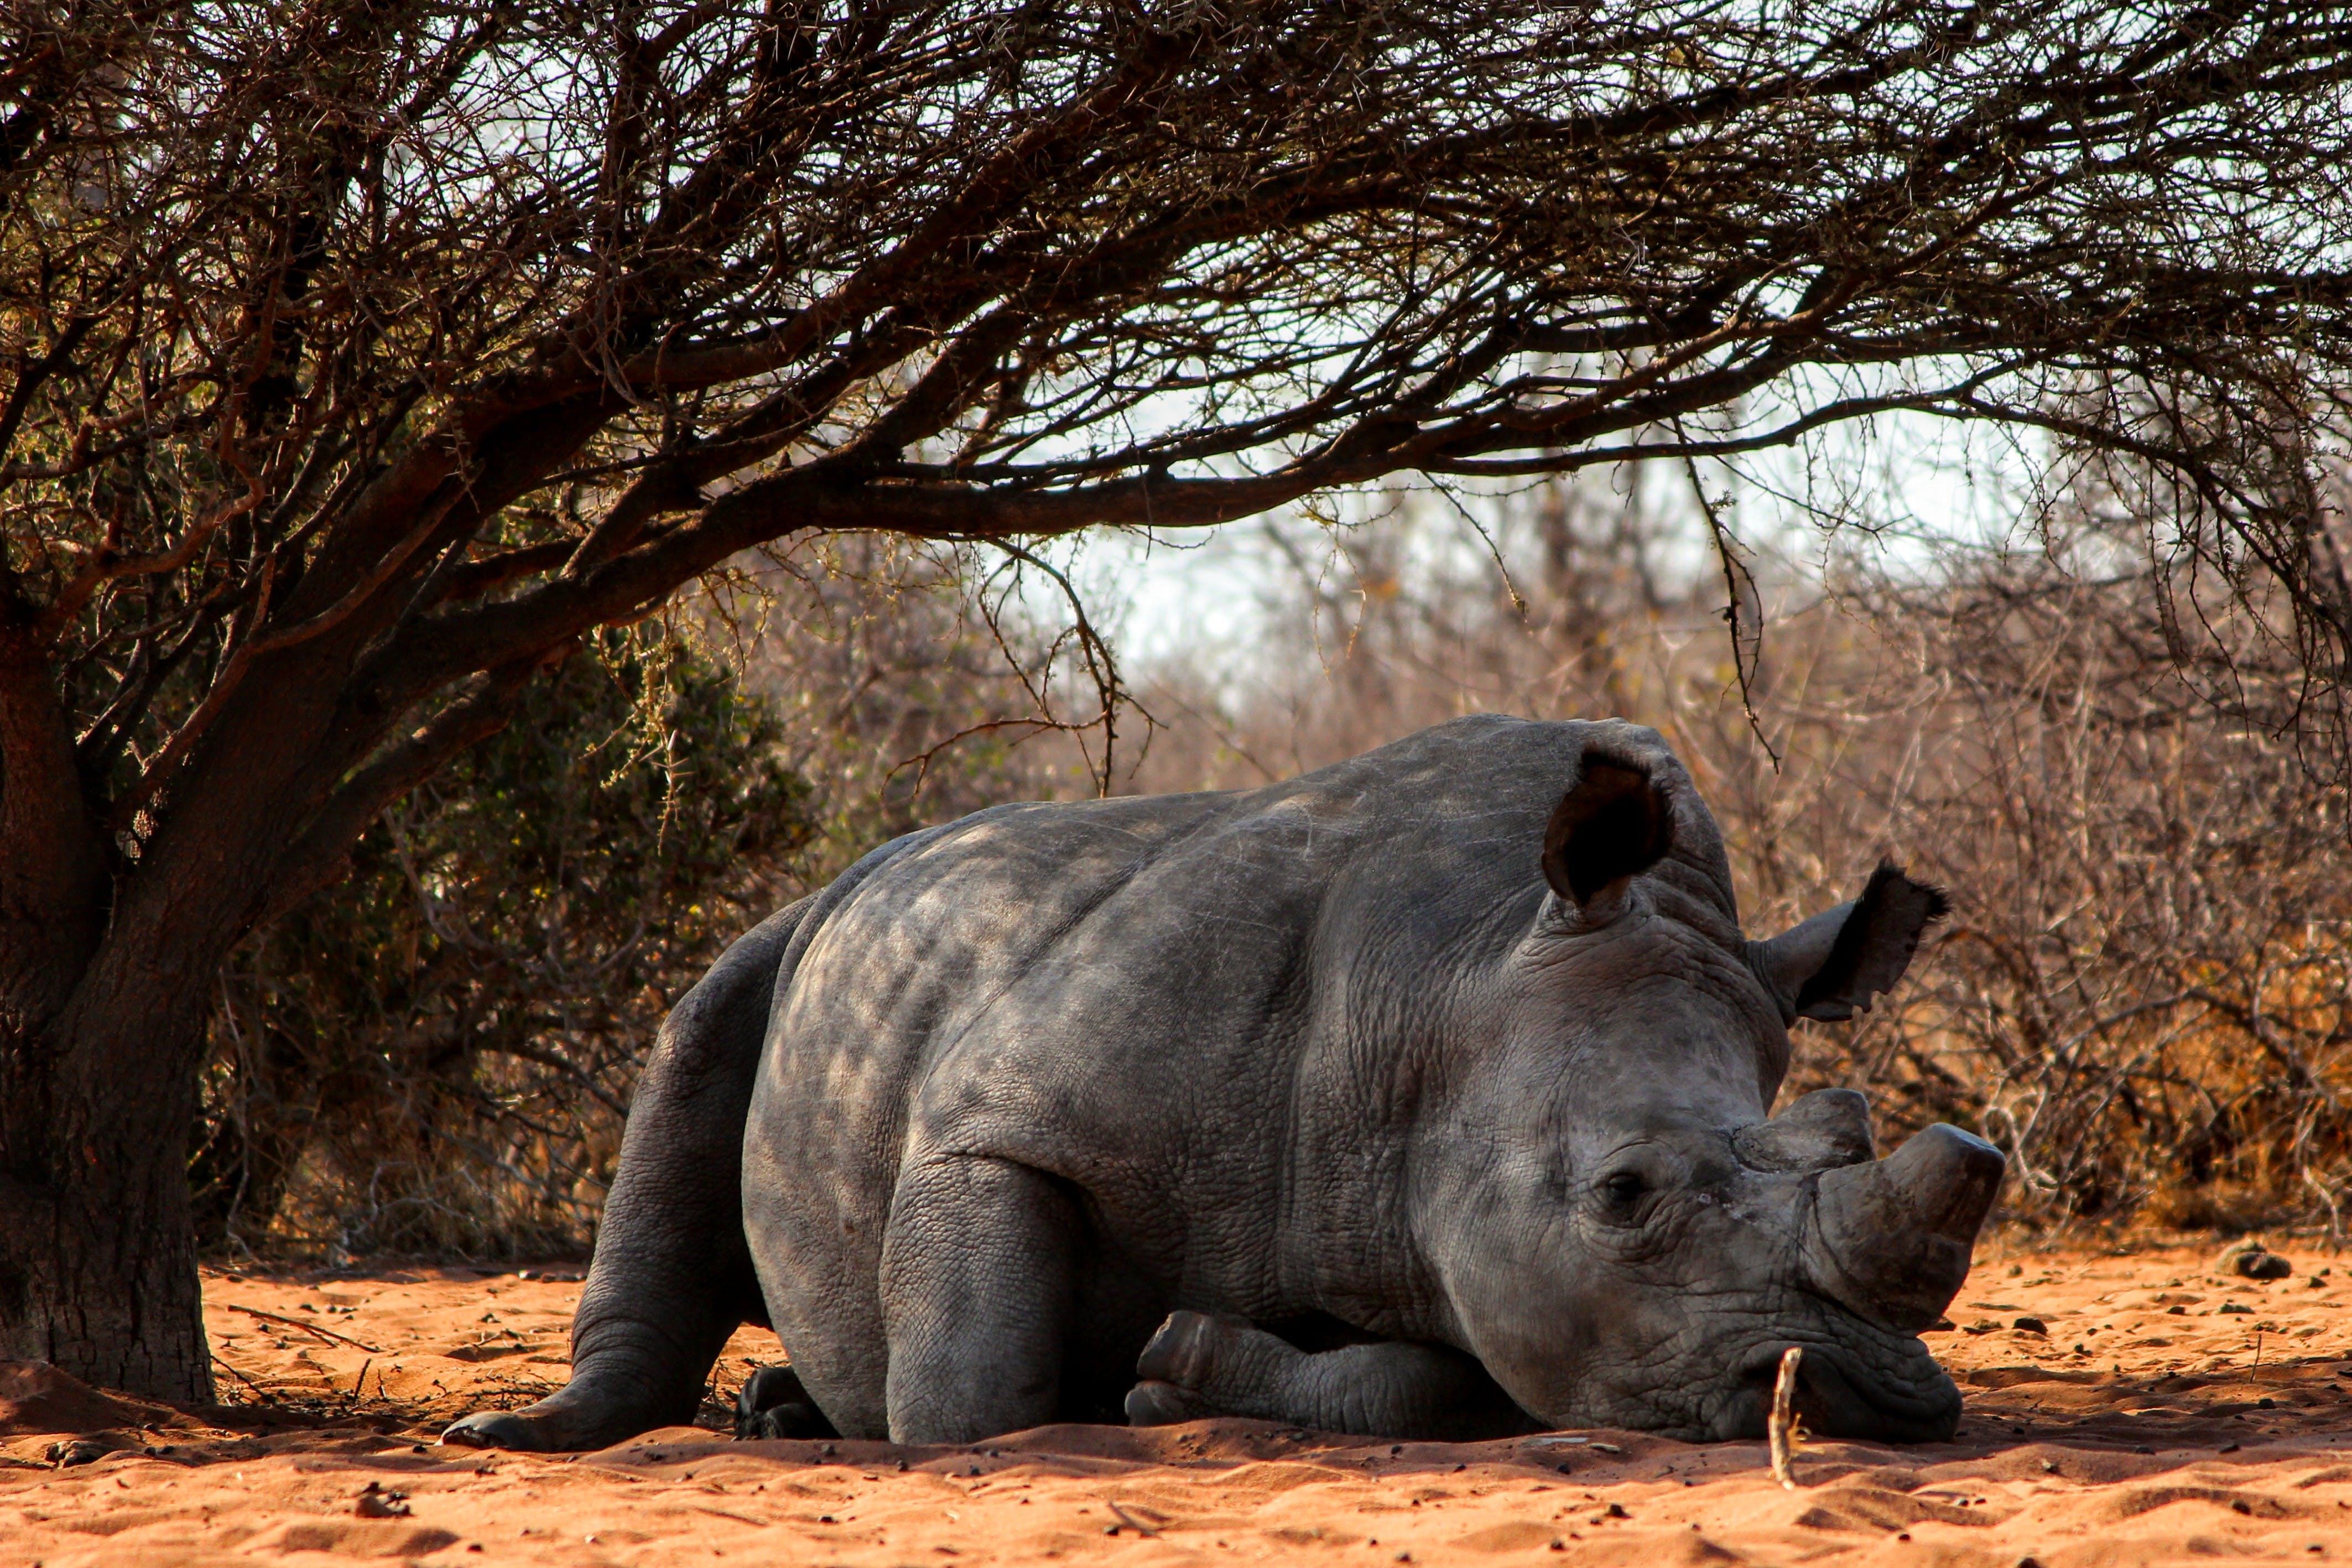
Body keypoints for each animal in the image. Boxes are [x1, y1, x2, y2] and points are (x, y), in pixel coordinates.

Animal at [444, 715, 2002, 1452]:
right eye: (1622, 1195)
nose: (1852, 1391)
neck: (1450, 987)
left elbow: (1435, 1383)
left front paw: (1168, 1377)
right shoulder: (999, 1121)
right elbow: (969, 1398)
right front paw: (1101, 1393)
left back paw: (782, 1412)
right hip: (796, 930)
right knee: (694, 1039)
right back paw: (537, 1435)